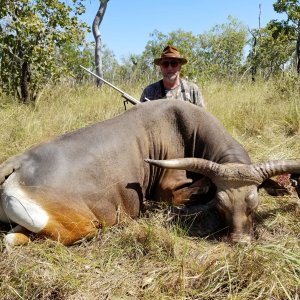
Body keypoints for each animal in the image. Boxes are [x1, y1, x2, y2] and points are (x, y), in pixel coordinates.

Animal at [0, 99, 300, 245]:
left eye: (254, 204)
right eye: (220, 204)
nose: (240, 241)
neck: (182, 123)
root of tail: (18, 163)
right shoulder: (170, 192)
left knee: (12, 238)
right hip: (82, 228)